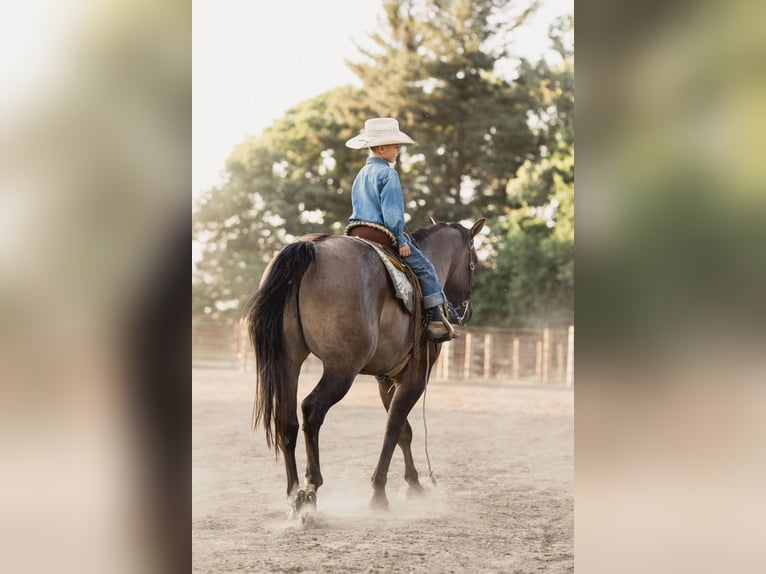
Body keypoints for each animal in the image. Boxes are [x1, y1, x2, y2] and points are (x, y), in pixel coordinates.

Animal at [246, 219, 486, 512]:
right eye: (473, 263)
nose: (467, 311)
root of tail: (310, 247)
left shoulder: (386, 378)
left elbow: (404, 431)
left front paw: (414, 484)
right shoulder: (416, 377)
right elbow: (393, 428)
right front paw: (379, 492)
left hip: (288, 360)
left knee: (287, 420)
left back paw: (294, 494)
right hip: (341, 369)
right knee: (312, 410)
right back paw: (311, 487)